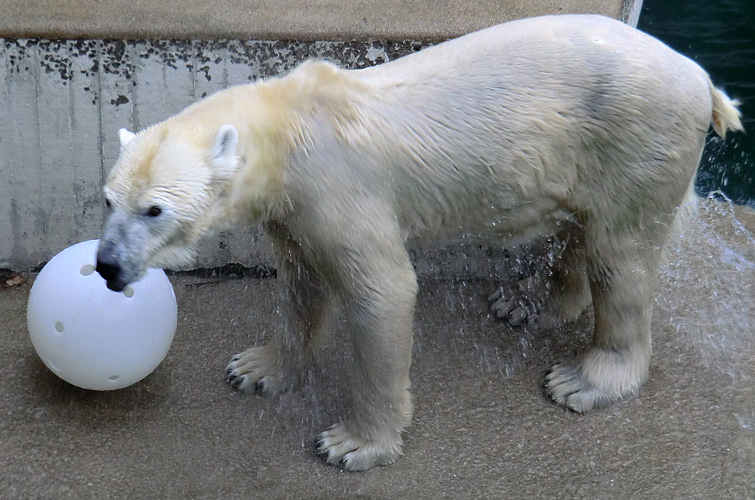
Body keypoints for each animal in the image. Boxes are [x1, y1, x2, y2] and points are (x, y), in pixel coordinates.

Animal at [96, 13, 744, 470]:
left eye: (155, 210)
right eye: (107, 199)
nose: (106, 267)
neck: (287, 124)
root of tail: (702, 79)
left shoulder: (336, 189)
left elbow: (383, 292)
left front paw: (353, 444)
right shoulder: (294, 209)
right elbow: (300, 283)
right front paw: (257, 368)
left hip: (638, 137)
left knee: (621, 256)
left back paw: (585, 379)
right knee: (579, 229)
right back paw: (526, 303)